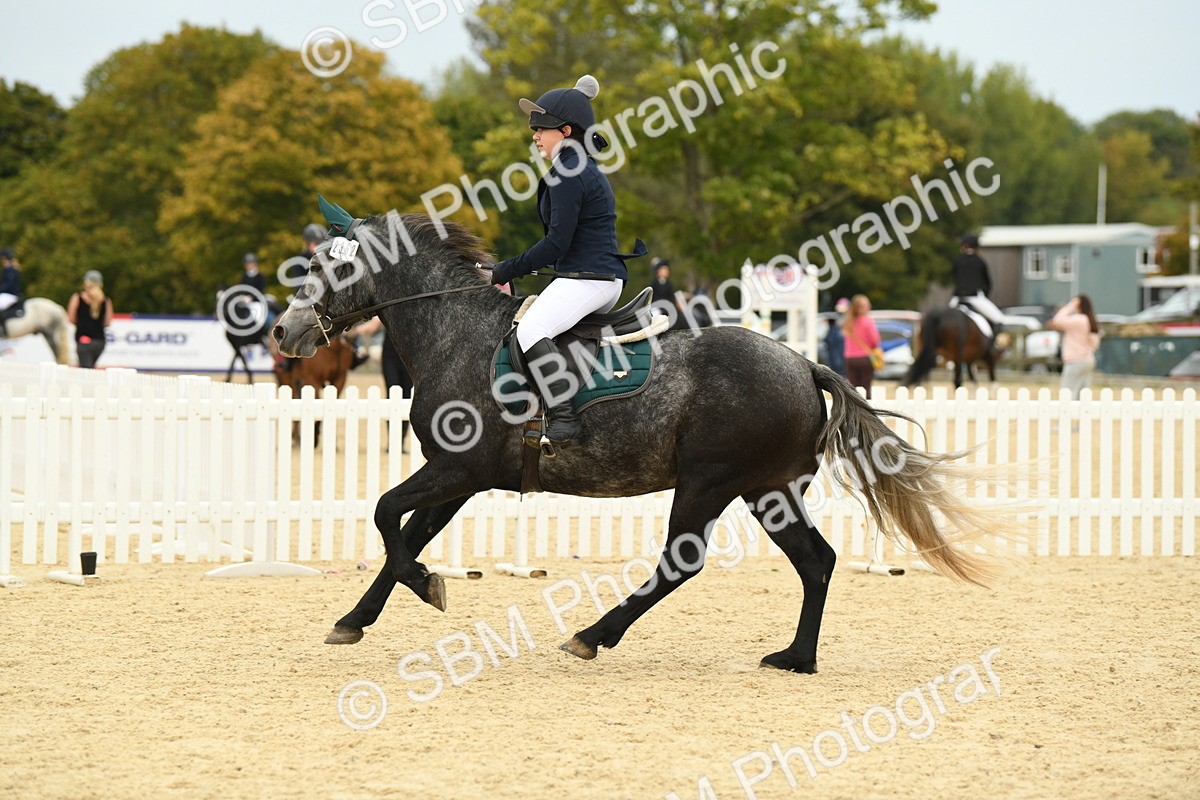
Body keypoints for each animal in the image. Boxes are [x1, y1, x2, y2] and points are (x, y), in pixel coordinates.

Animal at [272, 210, 1022, 673]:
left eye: (329, 268)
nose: (282, 333)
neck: (455, 330)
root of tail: (803, 363)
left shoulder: (458, 468)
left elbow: (385, 518)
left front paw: (427, 587)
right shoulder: (461, 476)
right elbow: (405, 533)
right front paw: (358, 616)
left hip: (708, 485)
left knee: (682, 561)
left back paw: (592, 635)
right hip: (768, 491)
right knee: (817, 561)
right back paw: (796, 657)